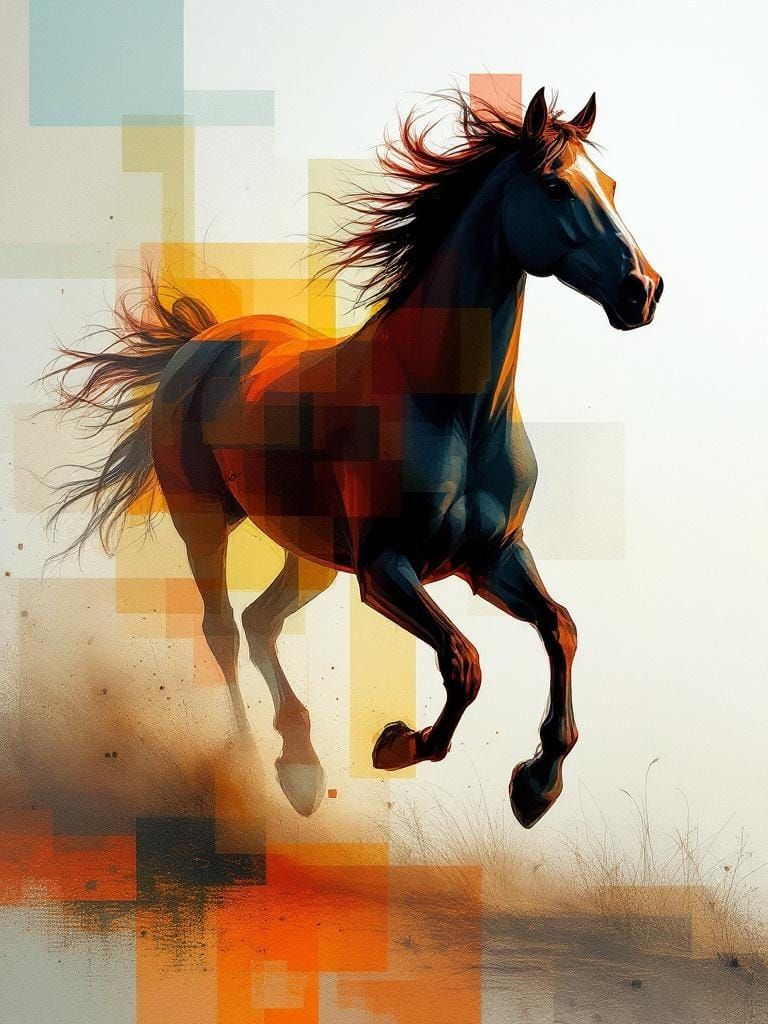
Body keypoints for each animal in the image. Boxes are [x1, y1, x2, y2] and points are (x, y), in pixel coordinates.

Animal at [50, 86, 662, 827]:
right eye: (554, 186)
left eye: (610, 185)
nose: (642, 290)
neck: (451, 409)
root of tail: (200, 345)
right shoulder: (384, 567)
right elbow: (464, 662)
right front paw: (399, 744)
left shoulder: (493, 557)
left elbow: (560, 627)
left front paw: (536, 784)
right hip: (203, 522)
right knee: (224, 631)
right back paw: (252, 764)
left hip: (311, 553)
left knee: (260, 622)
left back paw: (302, 766)